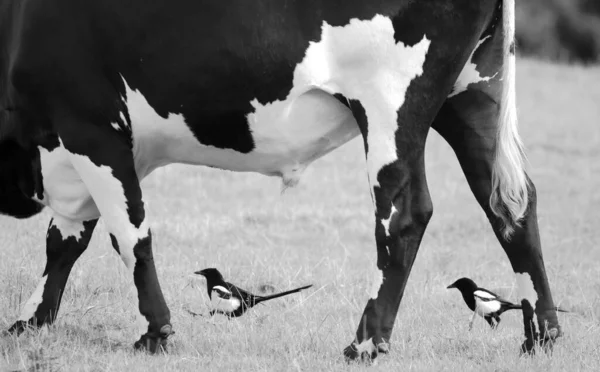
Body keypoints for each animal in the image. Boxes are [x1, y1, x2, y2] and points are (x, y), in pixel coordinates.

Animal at [0, 0, 564, 360]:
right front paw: (30, 322)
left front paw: (155, 333)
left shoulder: (90, 124)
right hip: (472, 93)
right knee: (511, 204)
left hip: (393, 101)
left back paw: (365, 344)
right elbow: (65, 240)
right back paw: (542, 337)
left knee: (404, 214)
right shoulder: (72, 146)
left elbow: (128, 234)